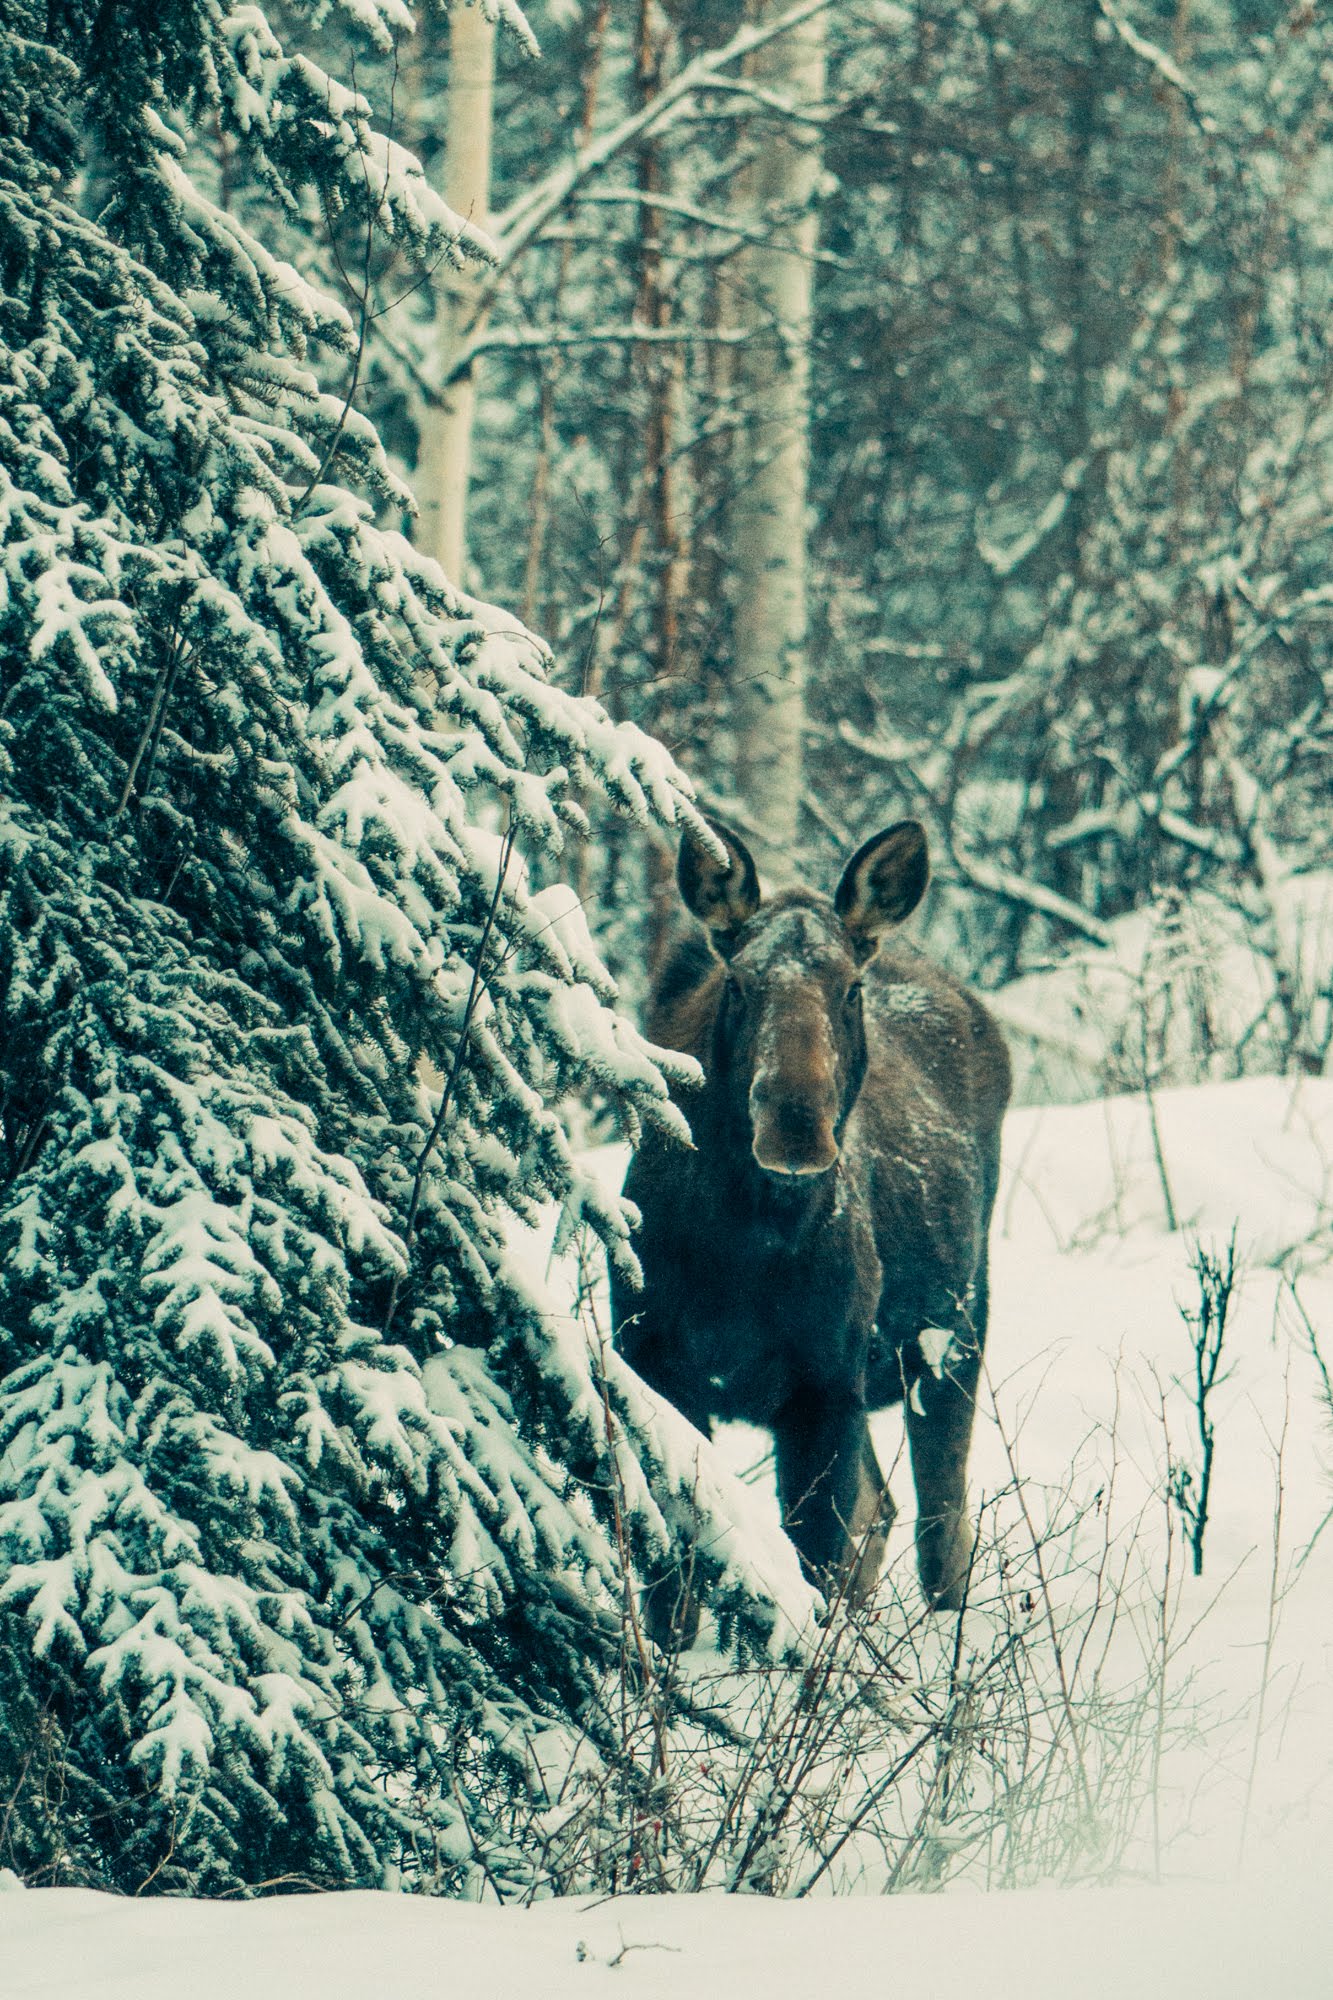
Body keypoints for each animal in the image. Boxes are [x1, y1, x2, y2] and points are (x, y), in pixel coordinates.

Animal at [612, 816, 1008, 1640]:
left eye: (848, 988)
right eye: (739, 983)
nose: (795, 1127)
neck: (740, 1252)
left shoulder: (822, 1384)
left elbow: (815, 1561)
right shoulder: (652, 1361)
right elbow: (676, 1583)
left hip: (954, 1336)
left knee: (941, 1531)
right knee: (884, 1511)